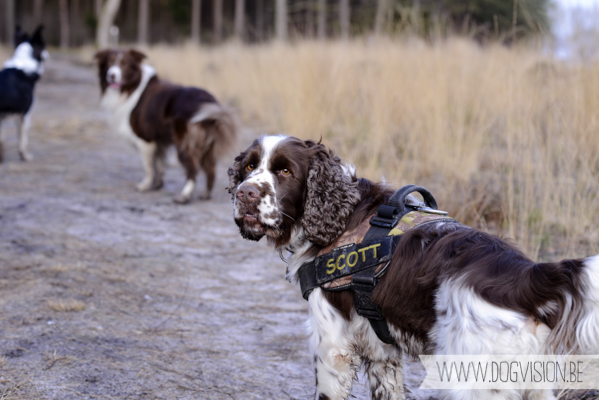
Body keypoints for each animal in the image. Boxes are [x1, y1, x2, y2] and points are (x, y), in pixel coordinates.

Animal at [230, 134, 599, 400]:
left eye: (285, 171)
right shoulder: (382, 352)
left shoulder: (332, 345)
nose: (245, 194)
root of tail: (525, 275)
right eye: (249, 166)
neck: (342, 215)